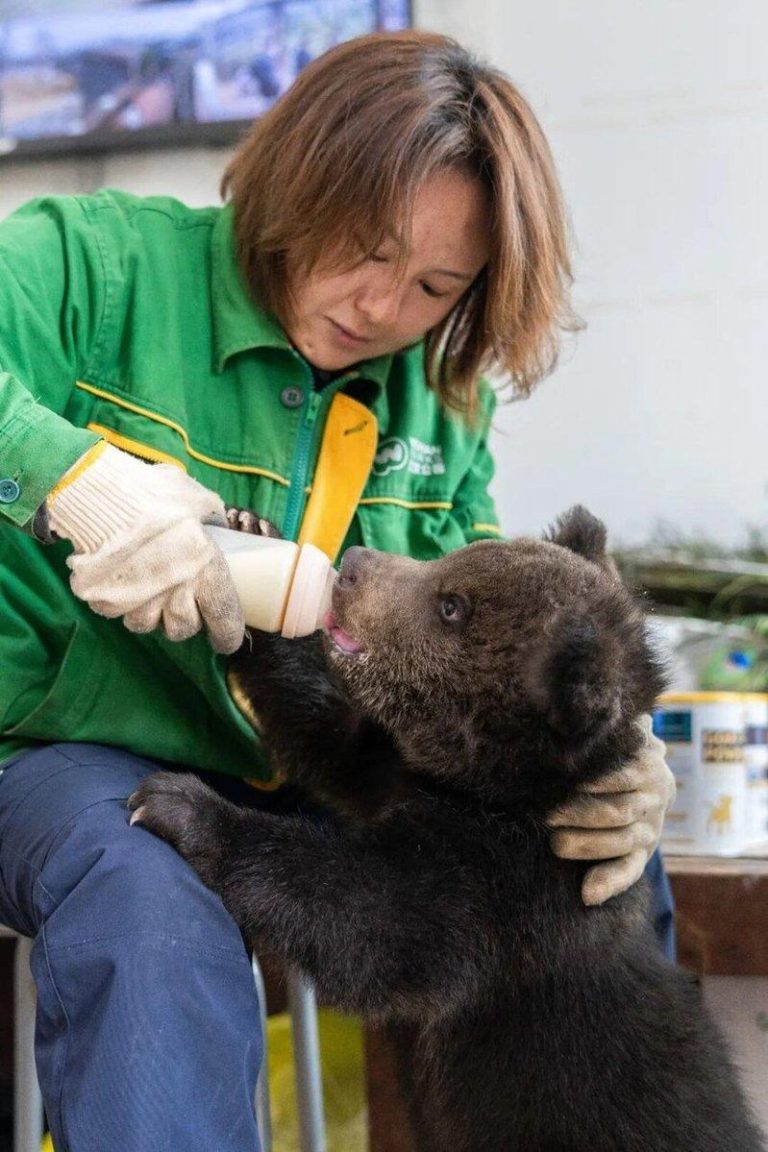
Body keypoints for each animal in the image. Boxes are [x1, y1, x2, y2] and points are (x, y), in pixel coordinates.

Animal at [130, 506, 764, 1152]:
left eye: (451, 605)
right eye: (451, 560)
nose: (354, 564)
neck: (493, 791)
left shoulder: (508, 891)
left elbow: (371, 917)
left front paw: (182, 805)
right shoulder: (399, 771)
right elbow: (331, 738)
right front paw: (251, 540)